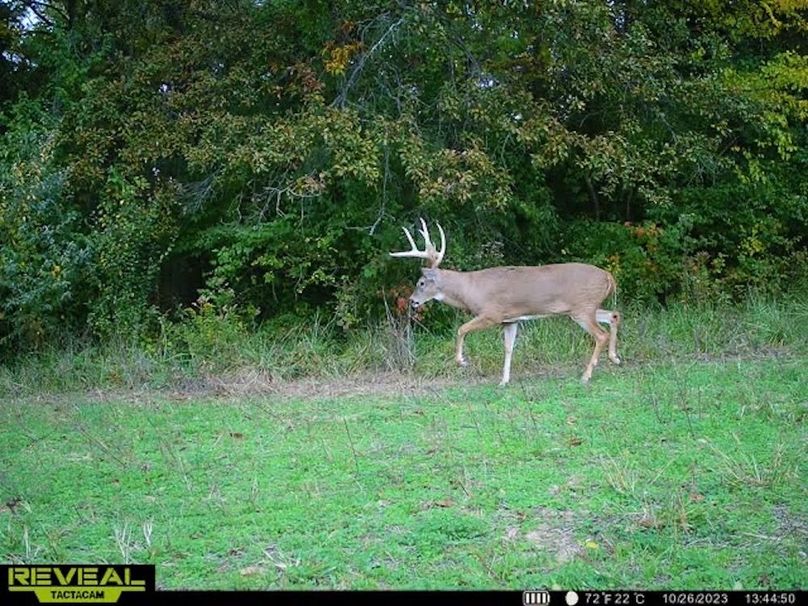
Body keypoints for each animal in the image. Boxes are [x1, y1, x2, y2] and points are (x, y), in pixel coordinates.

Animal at [390, 219, 622, 386]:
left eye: (421, 283)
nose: (412, 301)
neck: (470, 290)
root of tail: (609, 277)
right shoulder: (510, 320)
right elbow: (509, 348)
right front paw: (504, 381)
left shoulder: (492, 313)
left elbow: (461, 329)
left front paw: (462, 361)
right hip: (587, 307)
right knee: (614, 314)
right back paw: (615, 358)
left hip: (582, 308)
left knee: (601, 334)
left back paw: (586, 375)